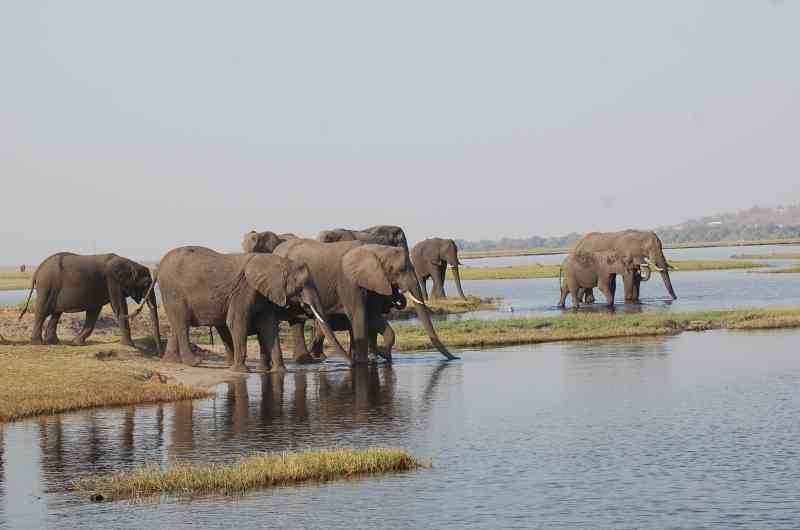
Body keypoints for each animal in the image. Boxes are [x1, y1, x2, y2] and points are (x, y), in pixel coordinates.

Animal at [18, 253, 161, 351]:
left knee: (56, 314)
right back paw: (38, 343)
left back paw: (53, 342)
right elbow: (118, 306)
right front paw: (130, 345)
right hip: (47, 286)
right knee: (42, 312)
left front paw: (77, 343)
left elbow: (94, 312)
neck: (131, 264)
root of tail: (38, 269)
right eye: (146, 284)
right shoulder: (113, 281)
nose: (159, 354)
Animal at [156, 246, 347, 371]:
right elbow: (236, 321)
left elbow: (268, 325)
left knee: (176, 326)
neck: (279, 262)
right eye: (302, 285)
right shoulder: (244, 289)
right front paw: (241, 371)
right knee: (182, 324)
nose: (350, 362)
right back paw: (195, 363)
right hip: (174, 292)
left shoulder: (264, 293)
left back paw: (172, 362)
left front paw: (280, 372)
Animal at [274, 239, 457, 364]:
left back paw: (305, 361)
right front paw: (363, 362)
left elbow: (373, 316)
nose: (455, 358)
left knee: (297, 322)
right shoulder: (348, 280)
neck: (375, 250)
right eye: (400, 270)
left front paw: (381, 355)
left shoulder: (373, 281)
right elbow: (359, 315)